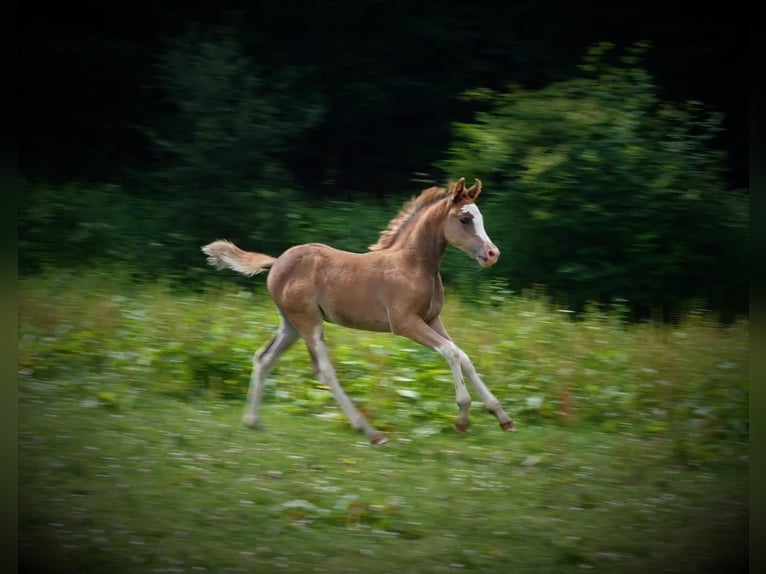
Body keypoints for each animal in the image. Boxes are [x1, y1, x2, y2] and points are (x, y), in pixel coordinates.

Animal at [202, 177, 516, 444]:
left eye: (480, 217)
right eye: (464, 219)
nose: (492, 254)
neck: (414, 265)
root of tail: (276, 262)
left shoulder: (432, 319)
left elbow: (463, 356)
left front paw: (502, 417)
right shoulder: (405, 323)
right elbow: (451, 352)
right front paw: (462, 417)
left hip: (290, 325)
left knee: (264, 358)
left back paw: (252, 421)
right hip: (308, 321)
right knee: (324, 371)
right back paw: (370, 432)